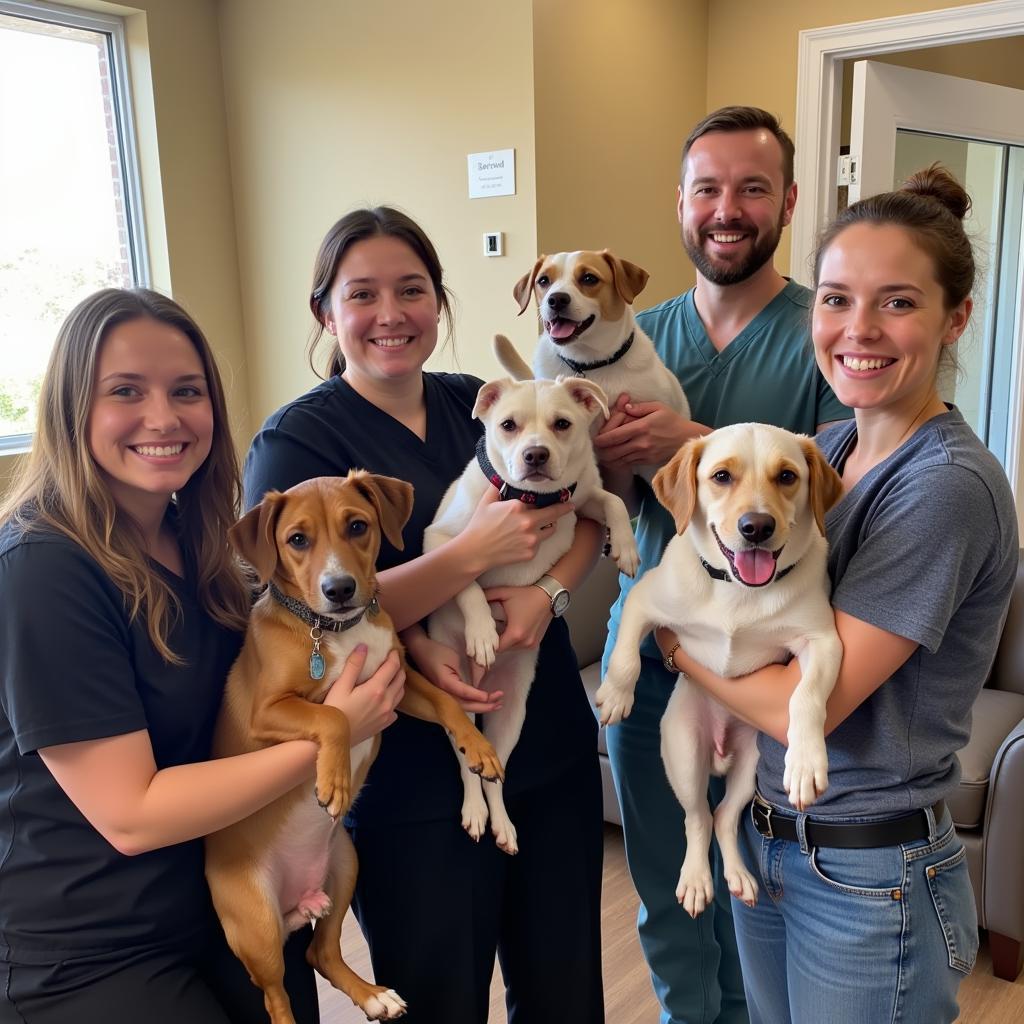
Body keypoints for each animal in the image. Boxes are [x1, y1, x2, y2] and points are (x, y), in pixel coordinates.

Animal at [204, 471, 503, 1024]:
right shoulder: (266, 712)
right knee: (276, 995)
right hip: (256, 927)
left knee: (320, 952)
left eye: (358, 526)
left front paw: (478, 748)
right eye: (297, 539)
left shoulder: (398, 683)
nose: (338, 589)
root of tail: (295, 904)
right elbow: (335, 714)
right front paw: (335, 781)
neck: (336, 632)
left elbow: (448, 701)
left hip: (345, 865)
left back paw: (373, 995)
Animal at [593, 423, 839, 921]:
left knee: (723, 817)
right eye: (721, 476)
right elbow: (628, 655)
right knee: (696, 817)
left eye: (787, 476)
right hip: (684, 752)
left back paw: (738, 877)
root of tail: (721, 752)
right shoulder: (645, 599)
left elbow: (806, 697)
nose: (756, 527)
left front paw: (806, 761)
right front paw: (616, 694)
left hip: (752, 762)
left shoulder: (823, 640)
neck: (740, 591)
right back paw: (695, 880)